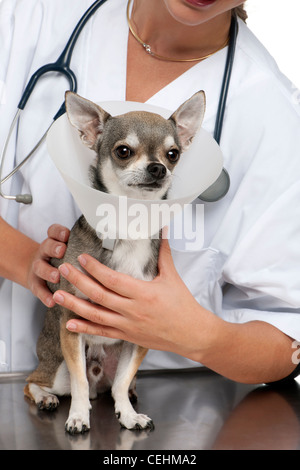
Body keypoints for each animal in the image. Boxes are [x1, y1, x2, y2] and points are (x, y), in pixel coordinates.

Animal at [24, 88, 206, 434]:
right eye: (123, 151)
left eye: (173, 154)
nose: (158, 168)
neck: (129, 229)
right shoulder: (71, 325)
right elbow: (80, 383)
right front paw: (78, 417)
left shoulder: (139, 335)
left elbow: (122, 380)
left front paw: (129, 415)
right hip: (57, 368)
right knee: (36, 382)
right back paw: (46, 398)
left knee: (118, 384)